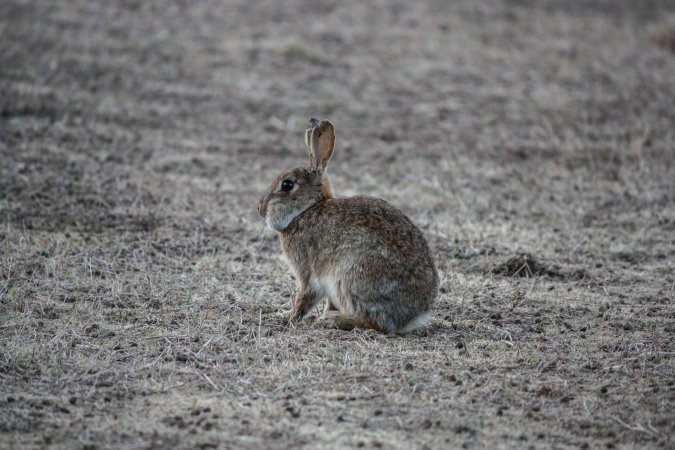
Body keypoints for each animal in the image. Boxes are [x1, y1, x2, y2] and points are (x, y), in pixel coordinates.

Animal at [257, 118, 438, 335]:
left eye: (287, 184)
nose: (260, 209)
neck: (307, 209)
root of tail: (414, 315)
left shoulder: (308, 274)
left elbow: (304, 298)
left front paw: (286, 316)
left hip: (351, 276)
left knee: (378, 324)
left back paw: (334, 321)